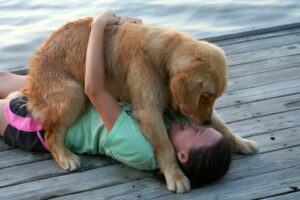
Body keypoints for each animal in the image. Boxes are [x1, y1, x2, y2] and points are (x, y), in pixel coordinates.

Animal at [21, 16, 258, 192]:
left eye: (213, 97)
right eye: (205, 96)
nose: (205, 122)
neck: (163, 57)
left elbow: (223, 126)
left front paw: (241, 142)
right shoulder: (148, 110)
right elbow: (165, 145)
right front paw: (175, 176)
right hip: (74, 92)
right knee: (51, 135)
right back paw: (66, 156)